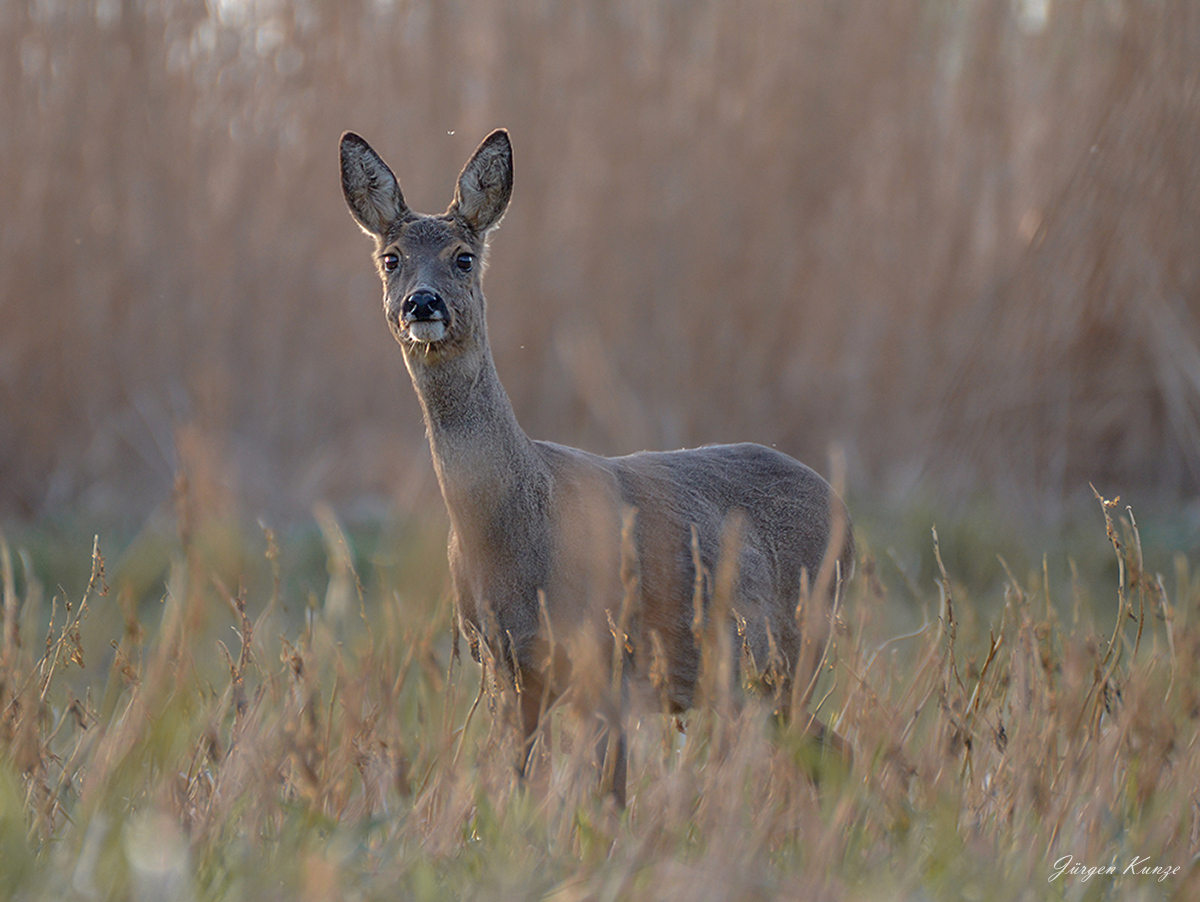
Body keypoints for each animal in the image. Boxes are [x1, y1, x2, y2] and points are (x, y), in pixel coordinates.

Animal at [338, 128, 854, 810]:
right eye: (391, 258)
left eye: (463, 257)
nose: (423, 303)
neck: (518, 527)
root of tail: (843, 511)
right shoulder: (504, 664)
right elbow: (518, 783)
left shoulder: (607, 653)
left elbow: (609, 796)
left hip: (795, 650)